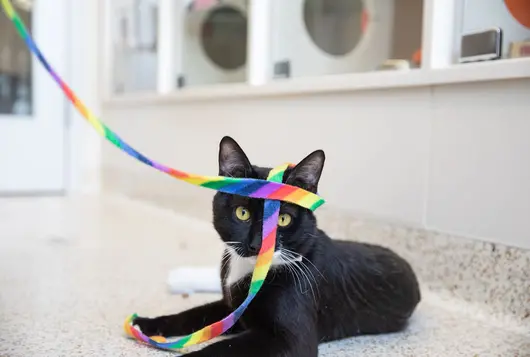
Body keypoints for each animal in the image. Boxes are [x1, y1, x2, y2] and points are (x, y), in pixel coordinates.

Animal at [133, 135, 420, 354]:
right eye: (242, 213)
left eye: (283, 219)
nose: (257, 244)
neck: (251, 270)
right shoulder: (231, 308)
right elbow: (190, 314)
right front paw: (145, 324)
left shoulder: (291, 338)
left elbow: (219, 349)